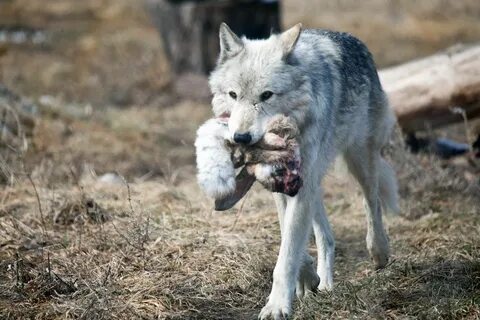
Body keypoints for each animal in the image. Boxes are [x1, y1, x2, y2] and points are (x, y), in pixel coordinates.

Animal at [200, 23, 402, 320]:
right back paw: (325, 284)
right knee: (327, 237)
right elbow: (290, 236)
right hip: (316, 179)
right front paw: (307, 279)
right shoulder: (283, 185)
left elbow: (287, 253)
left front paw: (277, 306)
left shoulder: (300, 185)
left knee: (372, 202)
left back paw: (379, 252)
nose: (241, 137)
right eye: (233, 95)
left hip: (360, 159)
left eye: (266, 95)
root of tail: (353, 40)